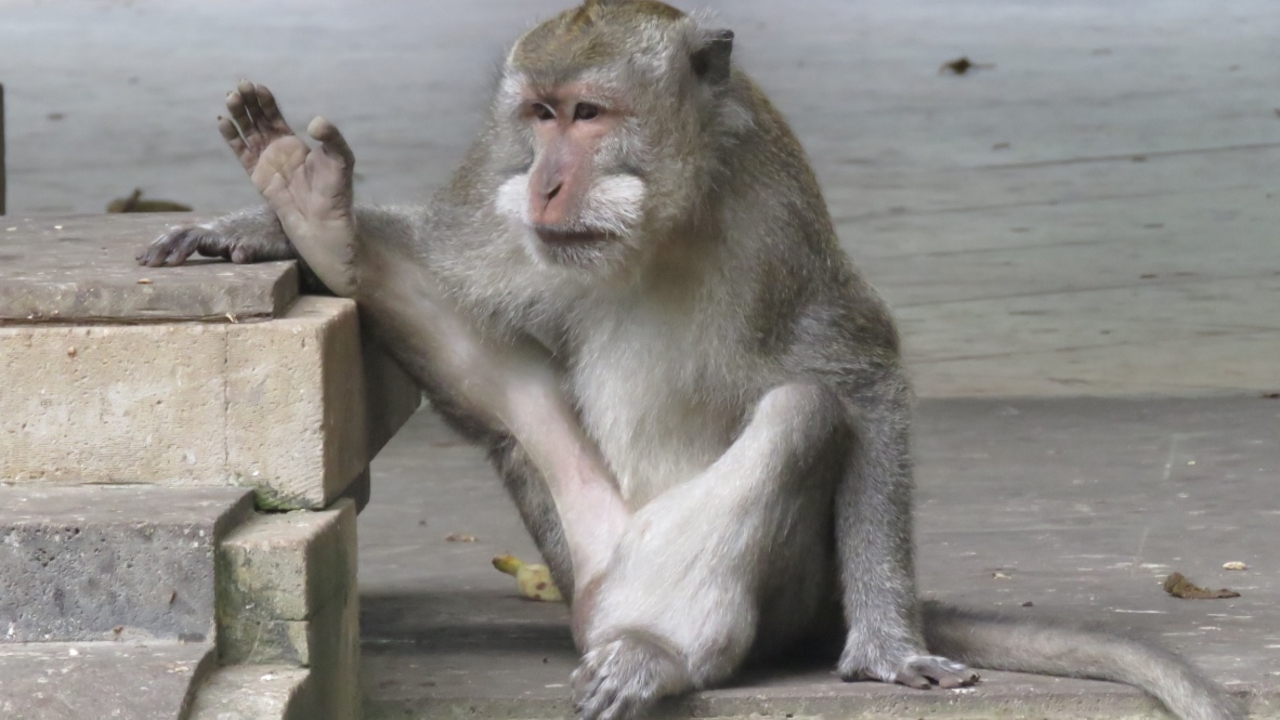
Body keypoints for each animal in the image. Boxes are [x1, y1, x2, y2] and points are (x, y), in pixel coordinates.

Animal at [138, 3, 1245, 720]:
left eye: (589, 114)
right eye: (539, 114)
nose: (545, 185)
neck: (663, 217)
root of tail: (607, 592)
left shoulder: (781, 212)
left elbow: (860, 372)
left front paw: (888, 645)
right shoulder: (494, 187)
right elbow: (455, 265)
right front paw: (259, 226)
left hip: (762, 591)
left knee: (800, 415)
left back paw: (663, 654)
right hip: (579, 541)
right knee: (501, 386)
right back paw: (315, 209)